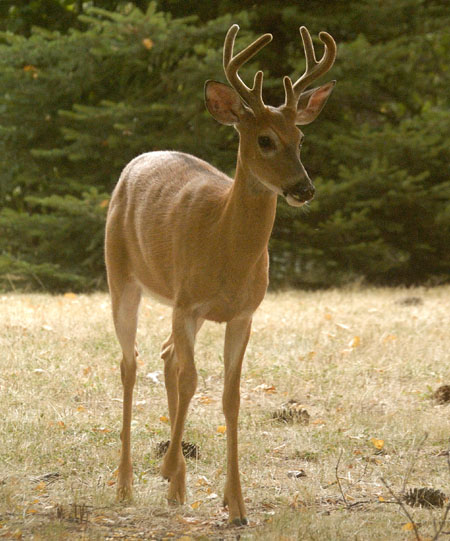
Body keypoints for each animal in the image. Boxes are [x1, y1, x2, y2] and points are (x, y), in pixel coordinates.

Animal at [105, 24, 336, 524]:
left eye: (300, 138)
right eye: (264, 139)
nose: (304, 188)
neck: (226, 248)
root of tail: (137, 161)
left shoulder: (244, 313)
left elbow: (231, 396)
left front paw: (236, 505)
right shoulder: (189, 302)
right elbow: (194, 380)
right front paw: (168, 466)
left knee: (166, 356)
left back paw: (176, 489)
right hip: (122, 276)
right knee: (132, 363)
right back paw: (127, 483)